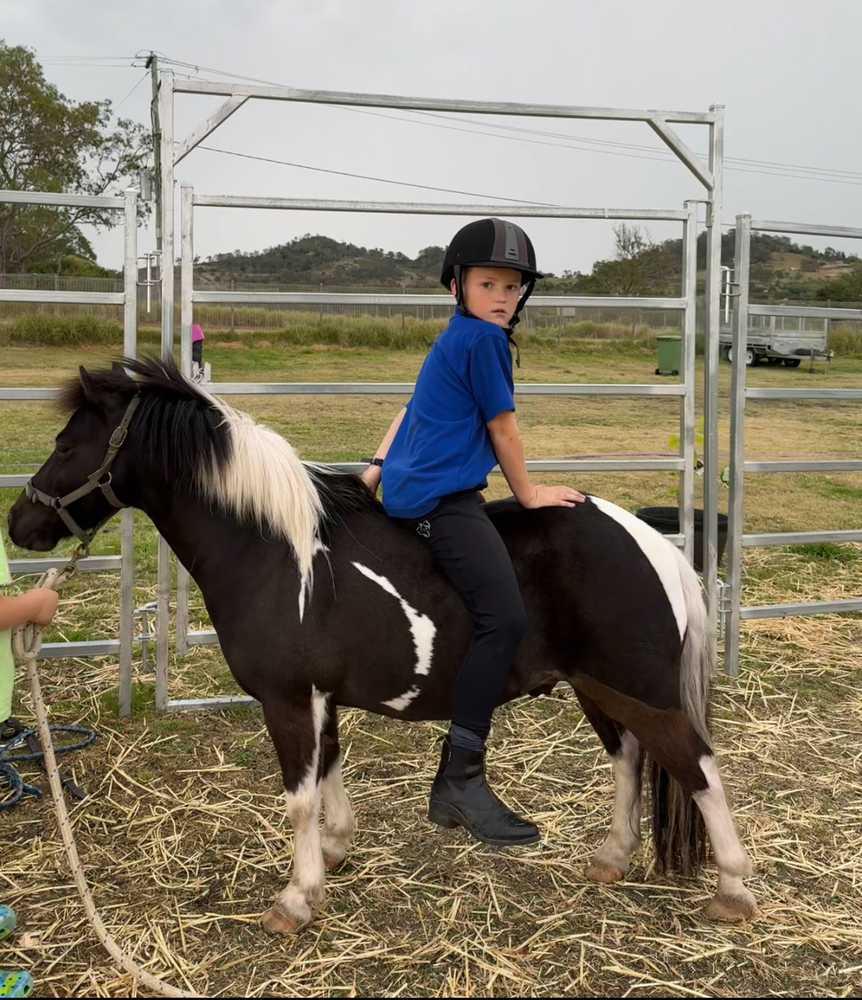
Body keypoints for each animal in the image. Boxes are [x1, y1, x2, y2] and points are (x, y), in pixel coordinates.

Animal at [7, 357, 757, 933]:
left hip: (642, 690)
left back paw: (733, 888)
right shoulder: (317, 698)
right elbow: (328, 772)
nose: (20, 523)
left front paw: (296, 898)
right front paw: (334, 852)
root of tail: (653, 542)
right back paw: (612, 856)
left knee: (698, 768)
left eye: (67, 444)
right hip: (598, 687)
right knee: (629, 758)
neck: (276, 553)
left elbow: (299, 796)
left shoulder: (287, 699)